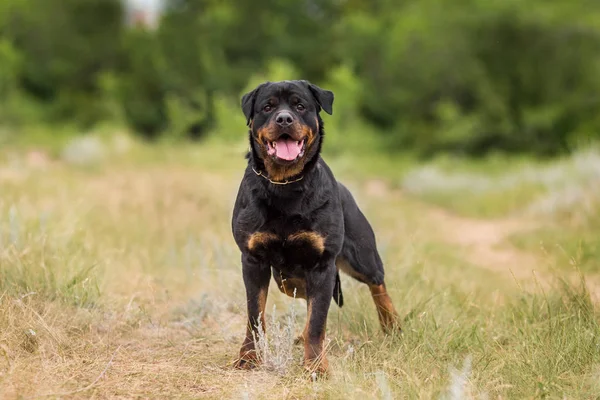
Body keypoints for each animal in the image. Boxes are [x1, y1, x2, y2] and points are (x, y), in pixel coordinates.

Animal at [232, 79, 400, 376]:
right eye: (267, 107)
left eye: (300, 106)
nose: (284, 119)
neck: (284, 186)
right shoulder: (253, 260)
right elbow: (255, 315)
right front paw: (250, 357)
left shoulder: (322, 264)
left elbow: (317, 321)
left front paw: (316, 366)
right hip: (287, 278)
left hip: (361, 257)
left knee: (378, 285)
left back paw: (392, 325)